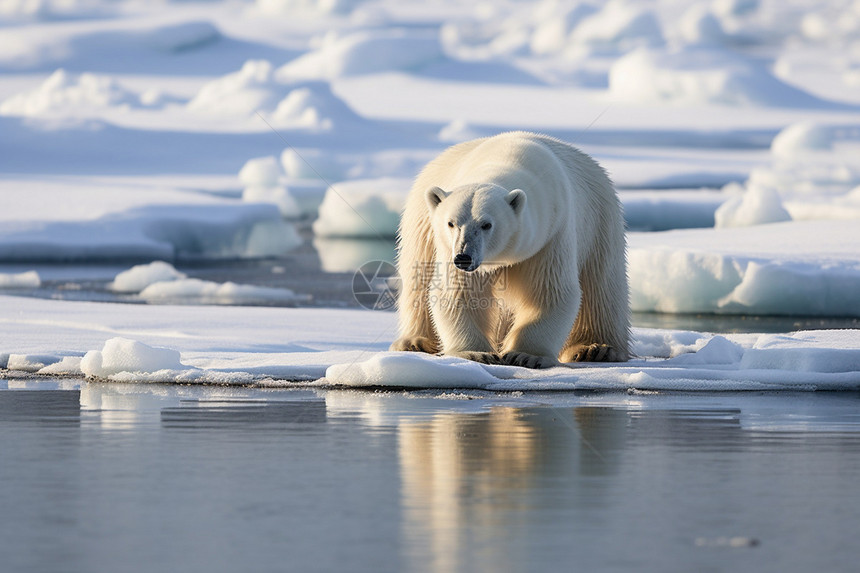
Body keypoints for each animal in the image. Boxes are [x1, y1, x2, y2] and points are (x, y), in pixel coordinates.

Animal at [392, 131, 632, 366]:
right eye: (451, 223)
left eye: (486, 224)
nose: (463, 257)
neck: (505, 157)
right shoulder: (448, 247)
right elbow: (459, 292)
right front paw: (475, 353)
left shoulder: (551, 234)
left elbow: (549, 291)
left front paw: (526, 355)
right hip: (421, 223)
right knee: (417, 278)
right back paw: (415, 342)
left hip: (601, 221)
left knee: (601, 285)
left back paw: (596, 348)